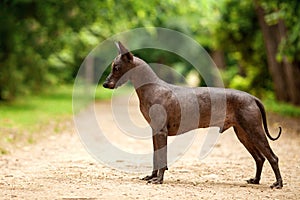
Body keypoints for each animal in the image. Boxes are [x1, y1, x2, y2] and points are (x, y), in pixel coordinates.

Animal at [103, 41, 284, 189]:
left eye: (116, 68)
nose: (105, 84)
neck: (152, 87)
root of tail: (252, 97)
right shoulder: (155, 132)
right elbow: (156, 156)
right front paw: (152, 176)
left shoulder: (161, 132)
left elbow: (162, 157)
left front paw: (158, 179)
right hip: (243, 133)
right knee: (260, 158)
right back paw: (256, 180)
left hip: (253, 130)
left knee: (273, 157)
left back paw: (278, 184)